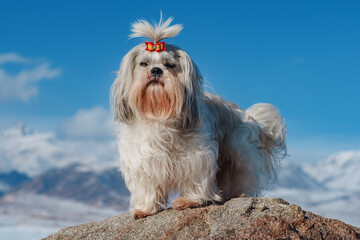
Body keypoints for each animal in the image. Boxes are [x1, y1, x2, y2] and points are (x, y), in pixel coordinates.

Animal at [109, 16, 286, 219]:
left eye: (170, 65)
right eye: (143, 64)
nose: (156, 70)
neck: (159, 113)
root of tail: (249, 118)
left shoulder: (196, 156)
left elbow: (194, 176)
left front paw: (190, 200)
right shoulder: (143, 159)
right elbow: (147, 186)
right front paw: (145, 209)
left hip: (239, 151)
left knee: (241, 175)